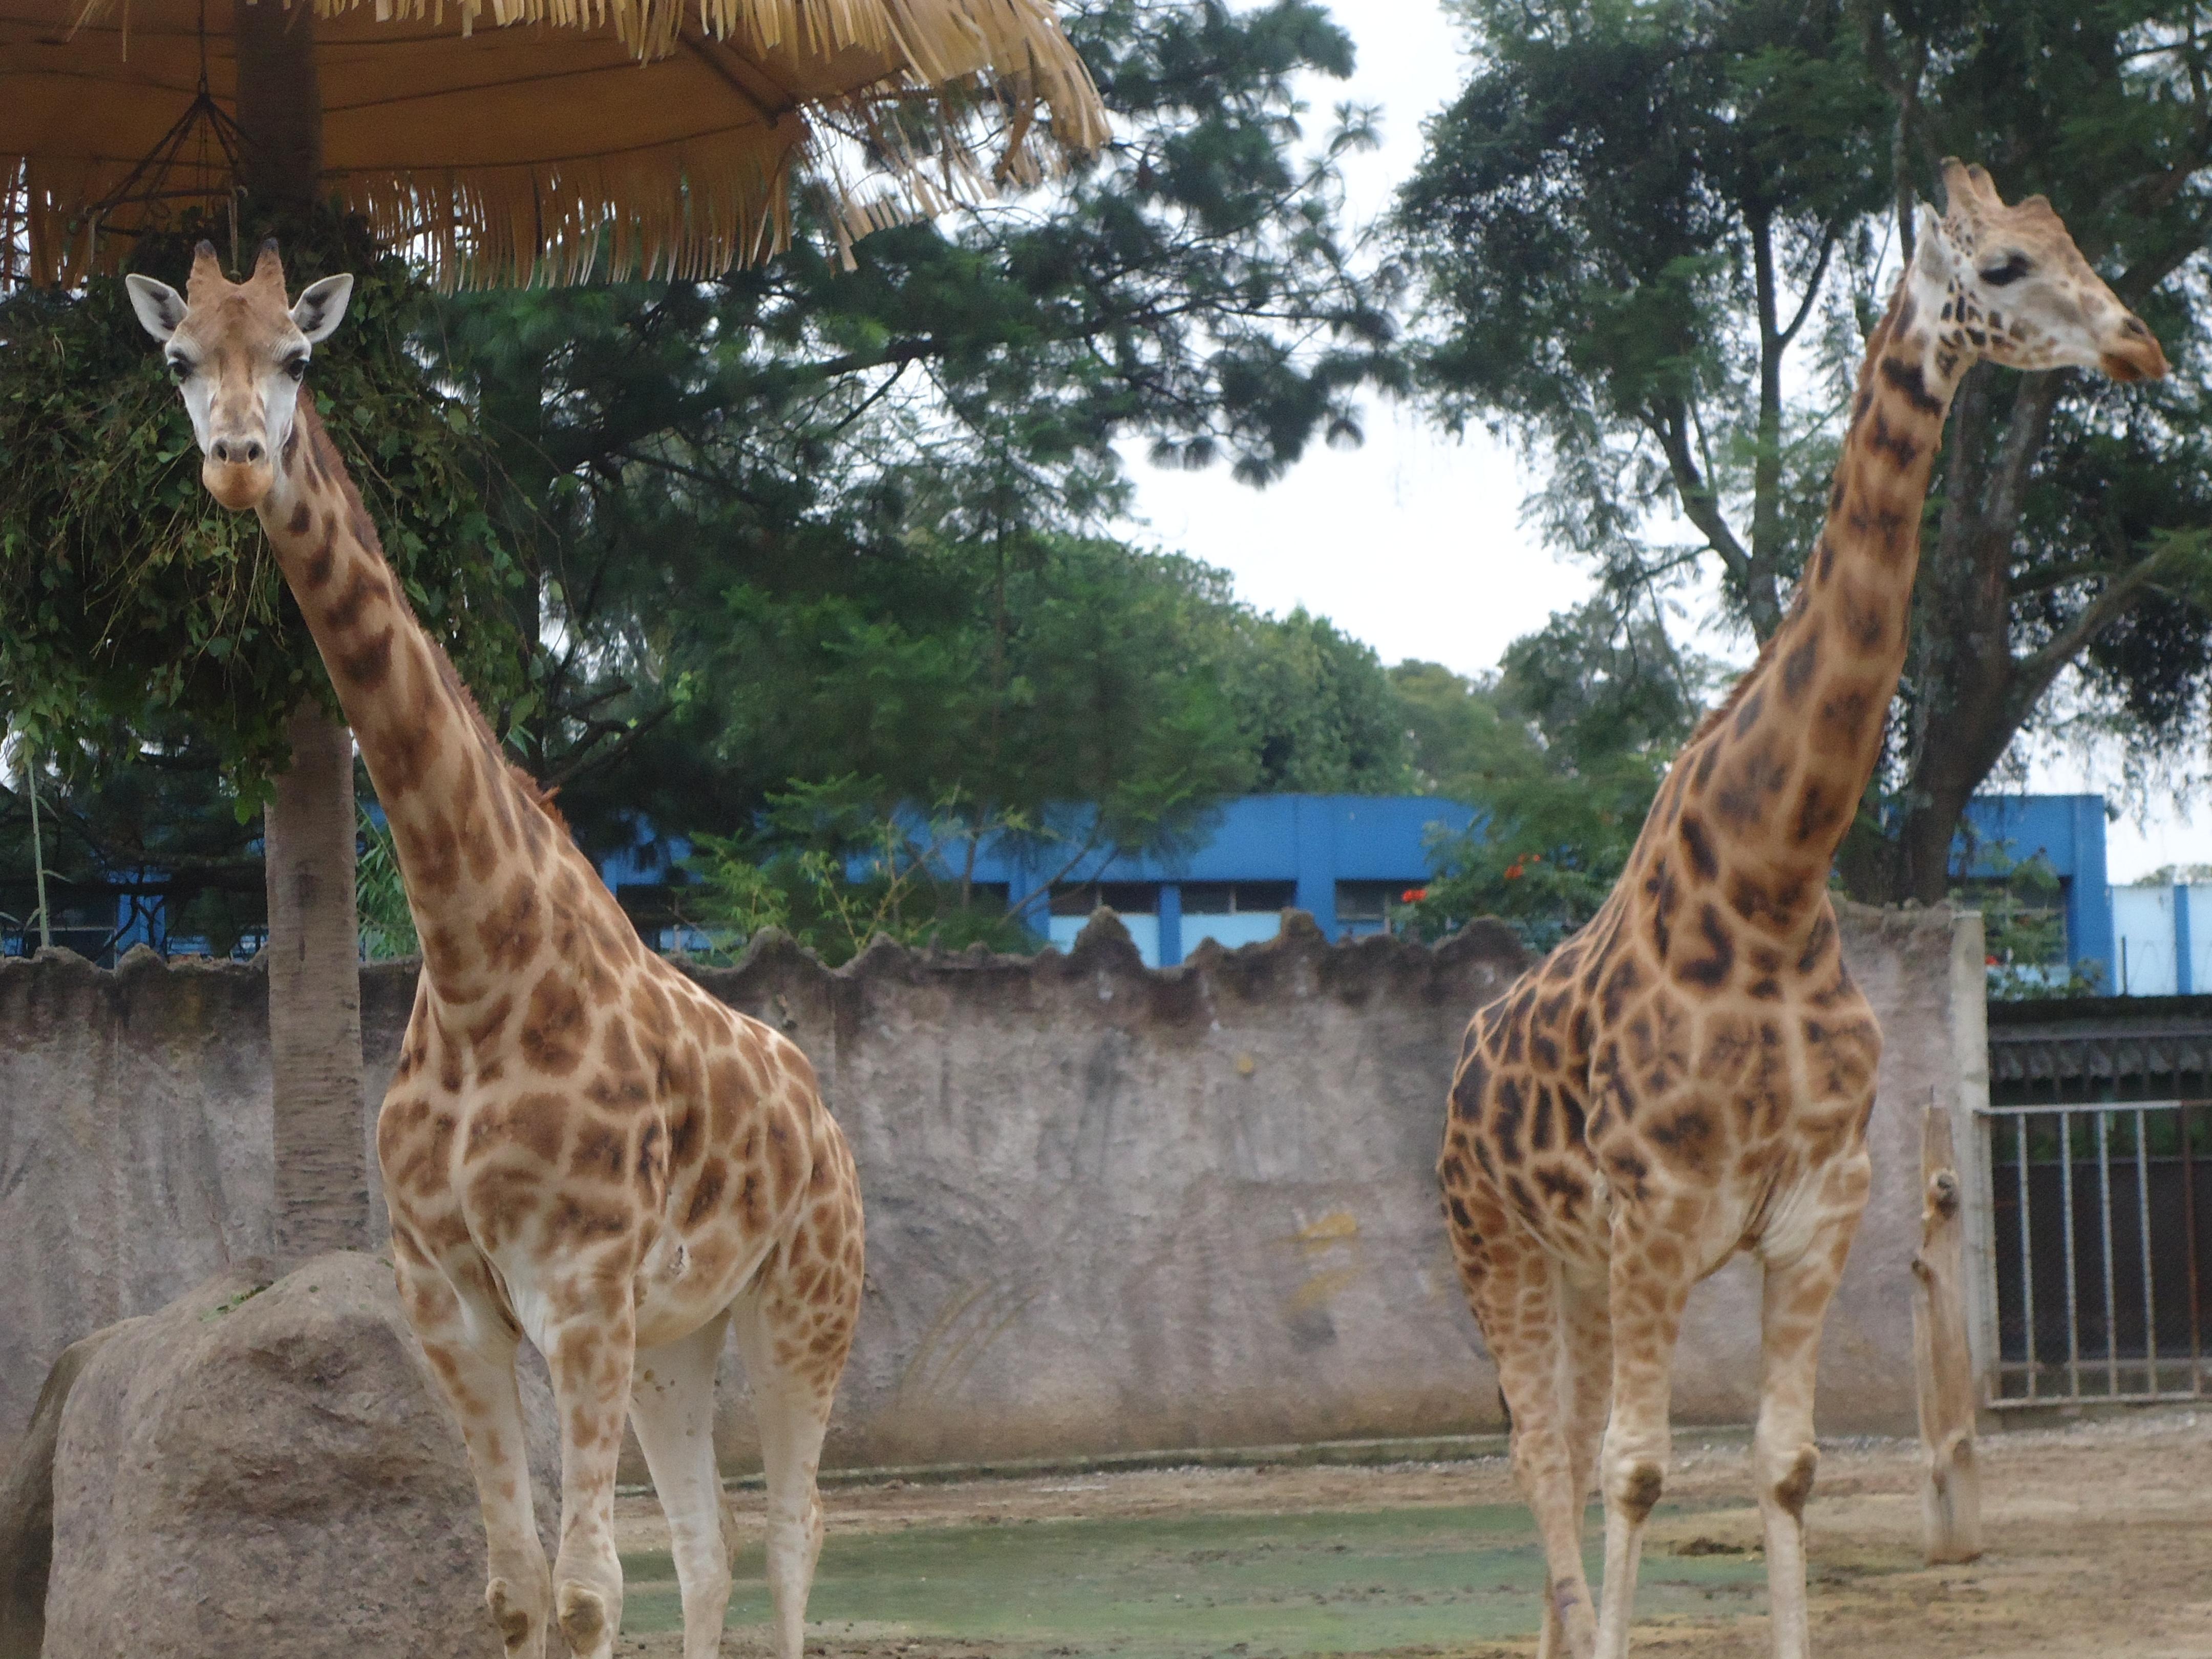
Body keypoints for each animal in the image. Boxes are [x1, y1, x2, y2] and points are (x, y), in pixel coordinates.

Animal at [121, 243, 862, 1659]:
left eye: (299, 357)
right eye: (179, 359)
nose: (238, 460)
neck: (476, 967)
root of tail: (820, 1105)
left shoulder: (577, 1286)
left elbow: (584, 1595)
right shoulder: (450, 1298)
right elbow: (518, 1595)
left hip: (806, 1298)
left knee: (797, 1533)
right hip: (678, 1333)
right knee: (710, 1548)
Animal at [1442, 159, 2167, 1659]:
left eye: (2071, 242)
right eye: (2002, 267)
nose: (2140, 343)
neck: (1767, 884)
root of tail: (1452, 1083)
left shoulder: (1817, 1210)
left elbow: (1784, 1466)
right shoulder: (1659, 1213)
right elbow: (1640, 1470)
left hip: (1576, 1266)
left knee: (1559, 1451)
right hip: (1497, 1249)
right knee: (1542, 1456)